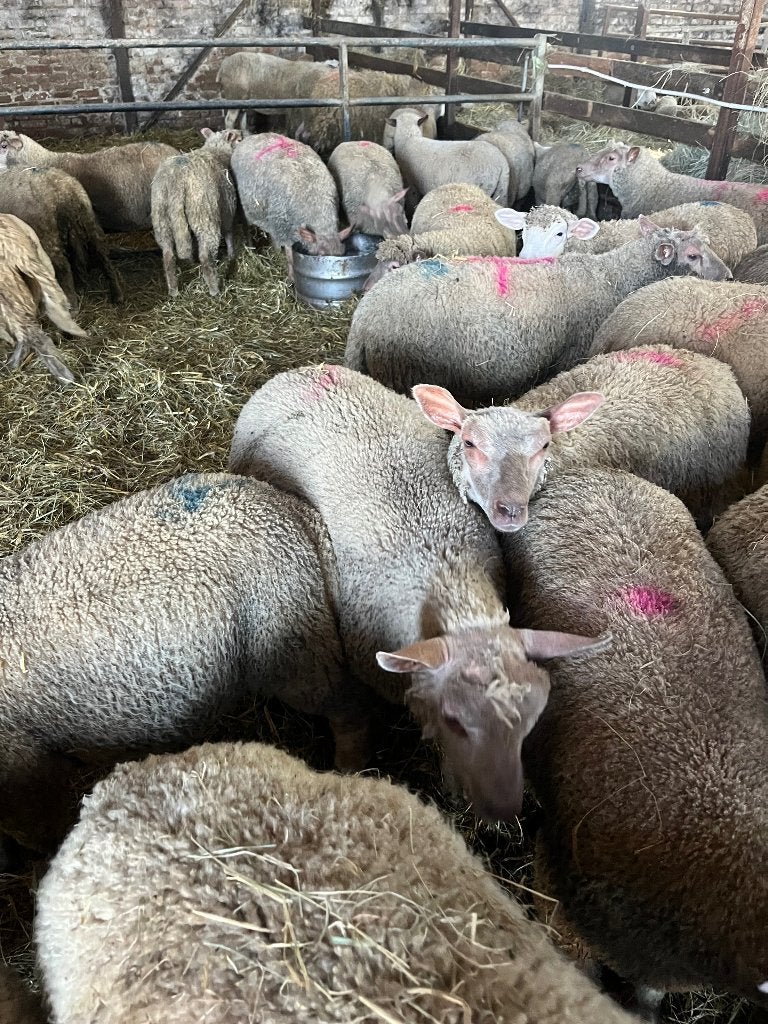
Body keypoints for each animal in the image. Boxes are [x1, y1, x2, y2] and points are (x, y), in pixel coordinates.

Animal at [0, 165, 124, 306]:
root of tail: (63, 190)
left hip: (48, 233)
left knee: (64, 267)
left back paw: (71, 302)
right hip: (88, 222)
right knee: (101, 256)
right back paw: (115, 294)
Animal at [0, 471, 370, 854]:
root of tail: (296, 512)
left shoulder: (25, 768)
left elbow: (41, 827)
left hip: (296, 649)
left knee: (349, 707)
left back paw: (348, 767)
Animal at [151, 127, 241, 298]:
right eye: (239, 140)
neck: (217, 150)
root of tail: (177, 182)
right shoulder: (228, 207)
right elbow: (229, 233)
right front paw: (231, 255)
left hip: (161, 218)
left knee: (168, 255)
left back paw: (173, 290)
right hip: (204, 214)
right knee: (206, 256)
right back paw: (214, 290)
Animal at [230, 132, 349, 276]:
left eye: (342, 253)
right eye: (320, 255)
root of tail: (254, 136)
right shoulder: (283, 228)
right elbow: (290, 257)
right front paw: (291, 277)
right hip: (245, 209)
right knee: (247, 228)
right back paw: (252, 246)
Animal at [345, 219, 731, 406]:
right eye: (693, 255)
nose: (729, 276)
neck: (613, 277)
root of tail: (362, 319)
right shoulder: (572, 354)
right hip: (404, 373)